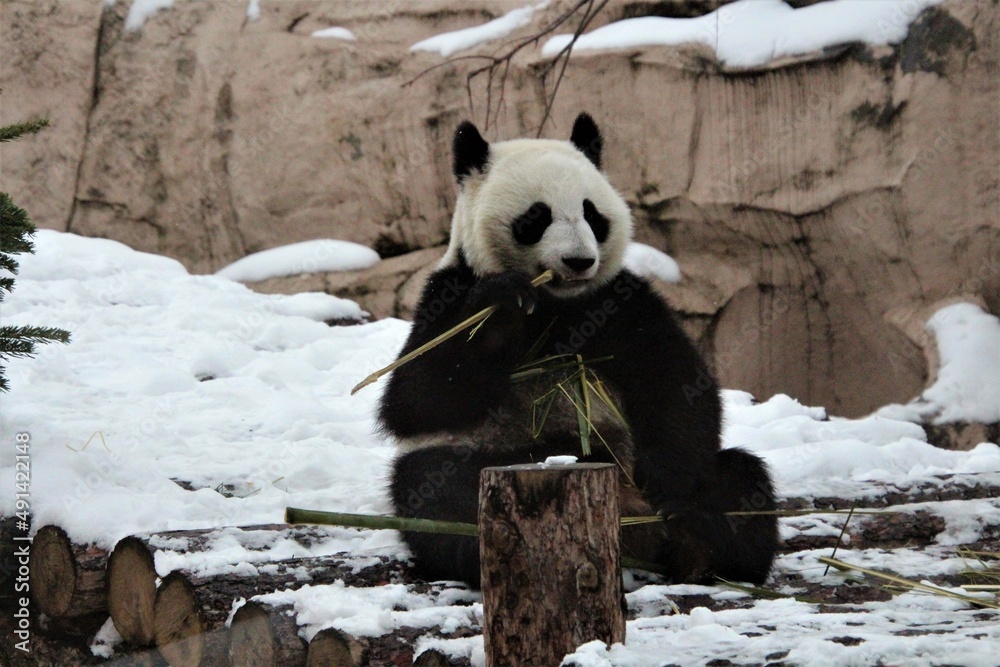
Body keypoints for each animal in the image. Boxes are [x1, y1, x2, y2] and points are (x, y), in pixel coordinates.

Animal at [378, 113, 778, 587]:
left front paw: (670, 488)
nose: (579, 261)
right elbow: (416, 397)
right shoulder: (447, 292)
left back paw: (700, 544)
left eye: (592, 213)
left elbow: (677, 383)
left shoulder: (621, 302)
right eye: (536, 216)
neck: (558, 303)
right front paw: (502, 309)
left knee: (739, 476)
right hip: (487, 456)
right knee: (438, 493)